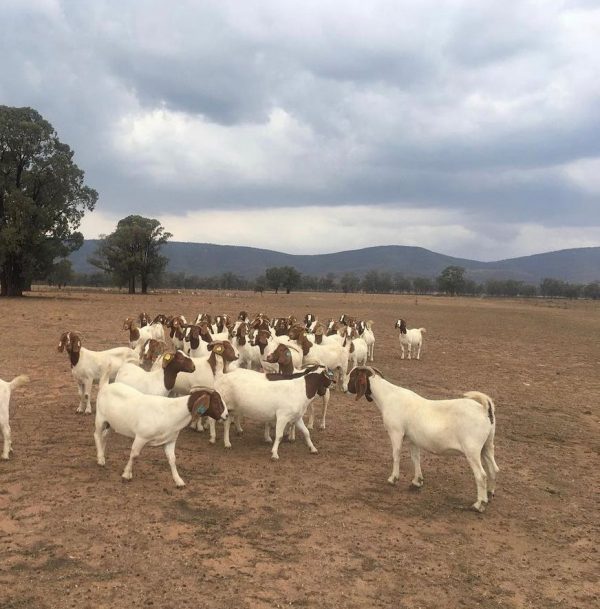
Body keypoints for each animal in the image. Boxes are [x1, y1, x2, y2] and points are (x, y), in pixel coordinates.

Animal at [95, 382, 229, 486]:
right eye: (216, 401)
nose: (227, 415)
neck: (171, 411)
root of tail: (107, 386)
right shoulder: (141, 437)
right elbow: (134, 455)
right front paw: (127, 474)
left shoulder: (170, 441)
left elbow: (172, 459)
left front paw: (178, 480)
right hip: (100, 419)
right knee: (97, 435)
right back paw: (100, 459)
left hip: (110, 423)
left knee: (105, 437)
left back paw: (102, 456)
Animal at [344, 366, 500, 512]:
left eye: (352, 375)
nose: (343, 387)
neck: (387, 396)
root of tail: (485, 410)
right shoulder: (413, 439)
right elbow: (415, 458)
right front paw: (417, 481)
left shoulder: (396, 432)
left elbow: (396, 455)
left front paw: (393, 478)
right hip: (487, 445)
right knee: (493, 468)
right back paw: (489, 494)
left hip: (472, 450)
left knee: (481, 475)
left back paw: (479, 504)